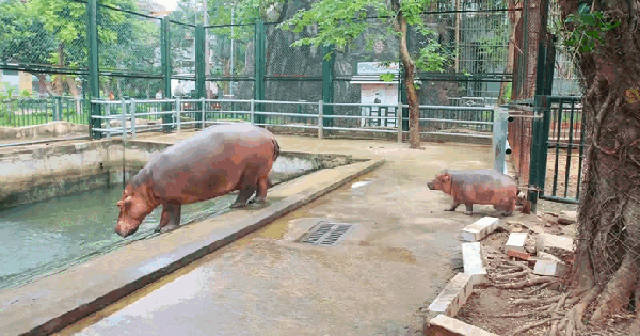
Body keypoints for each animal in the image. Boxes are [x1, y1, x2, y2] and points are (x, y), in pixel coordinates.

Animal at [115, 124, 280, 239]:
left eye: (120, 204)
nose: (115, 231)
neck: (144, 186)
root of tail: (269, 134)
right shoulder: (166, 199)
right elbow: (164, 216)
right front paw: (158, 229)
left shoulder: (171, 199)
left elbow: (171, 215)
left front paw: (167, 229)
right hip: (261, 172)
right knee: (262, 186)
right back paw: (256, 201)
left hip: (249, 173)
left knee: (247, 190)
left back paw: (235, 205)